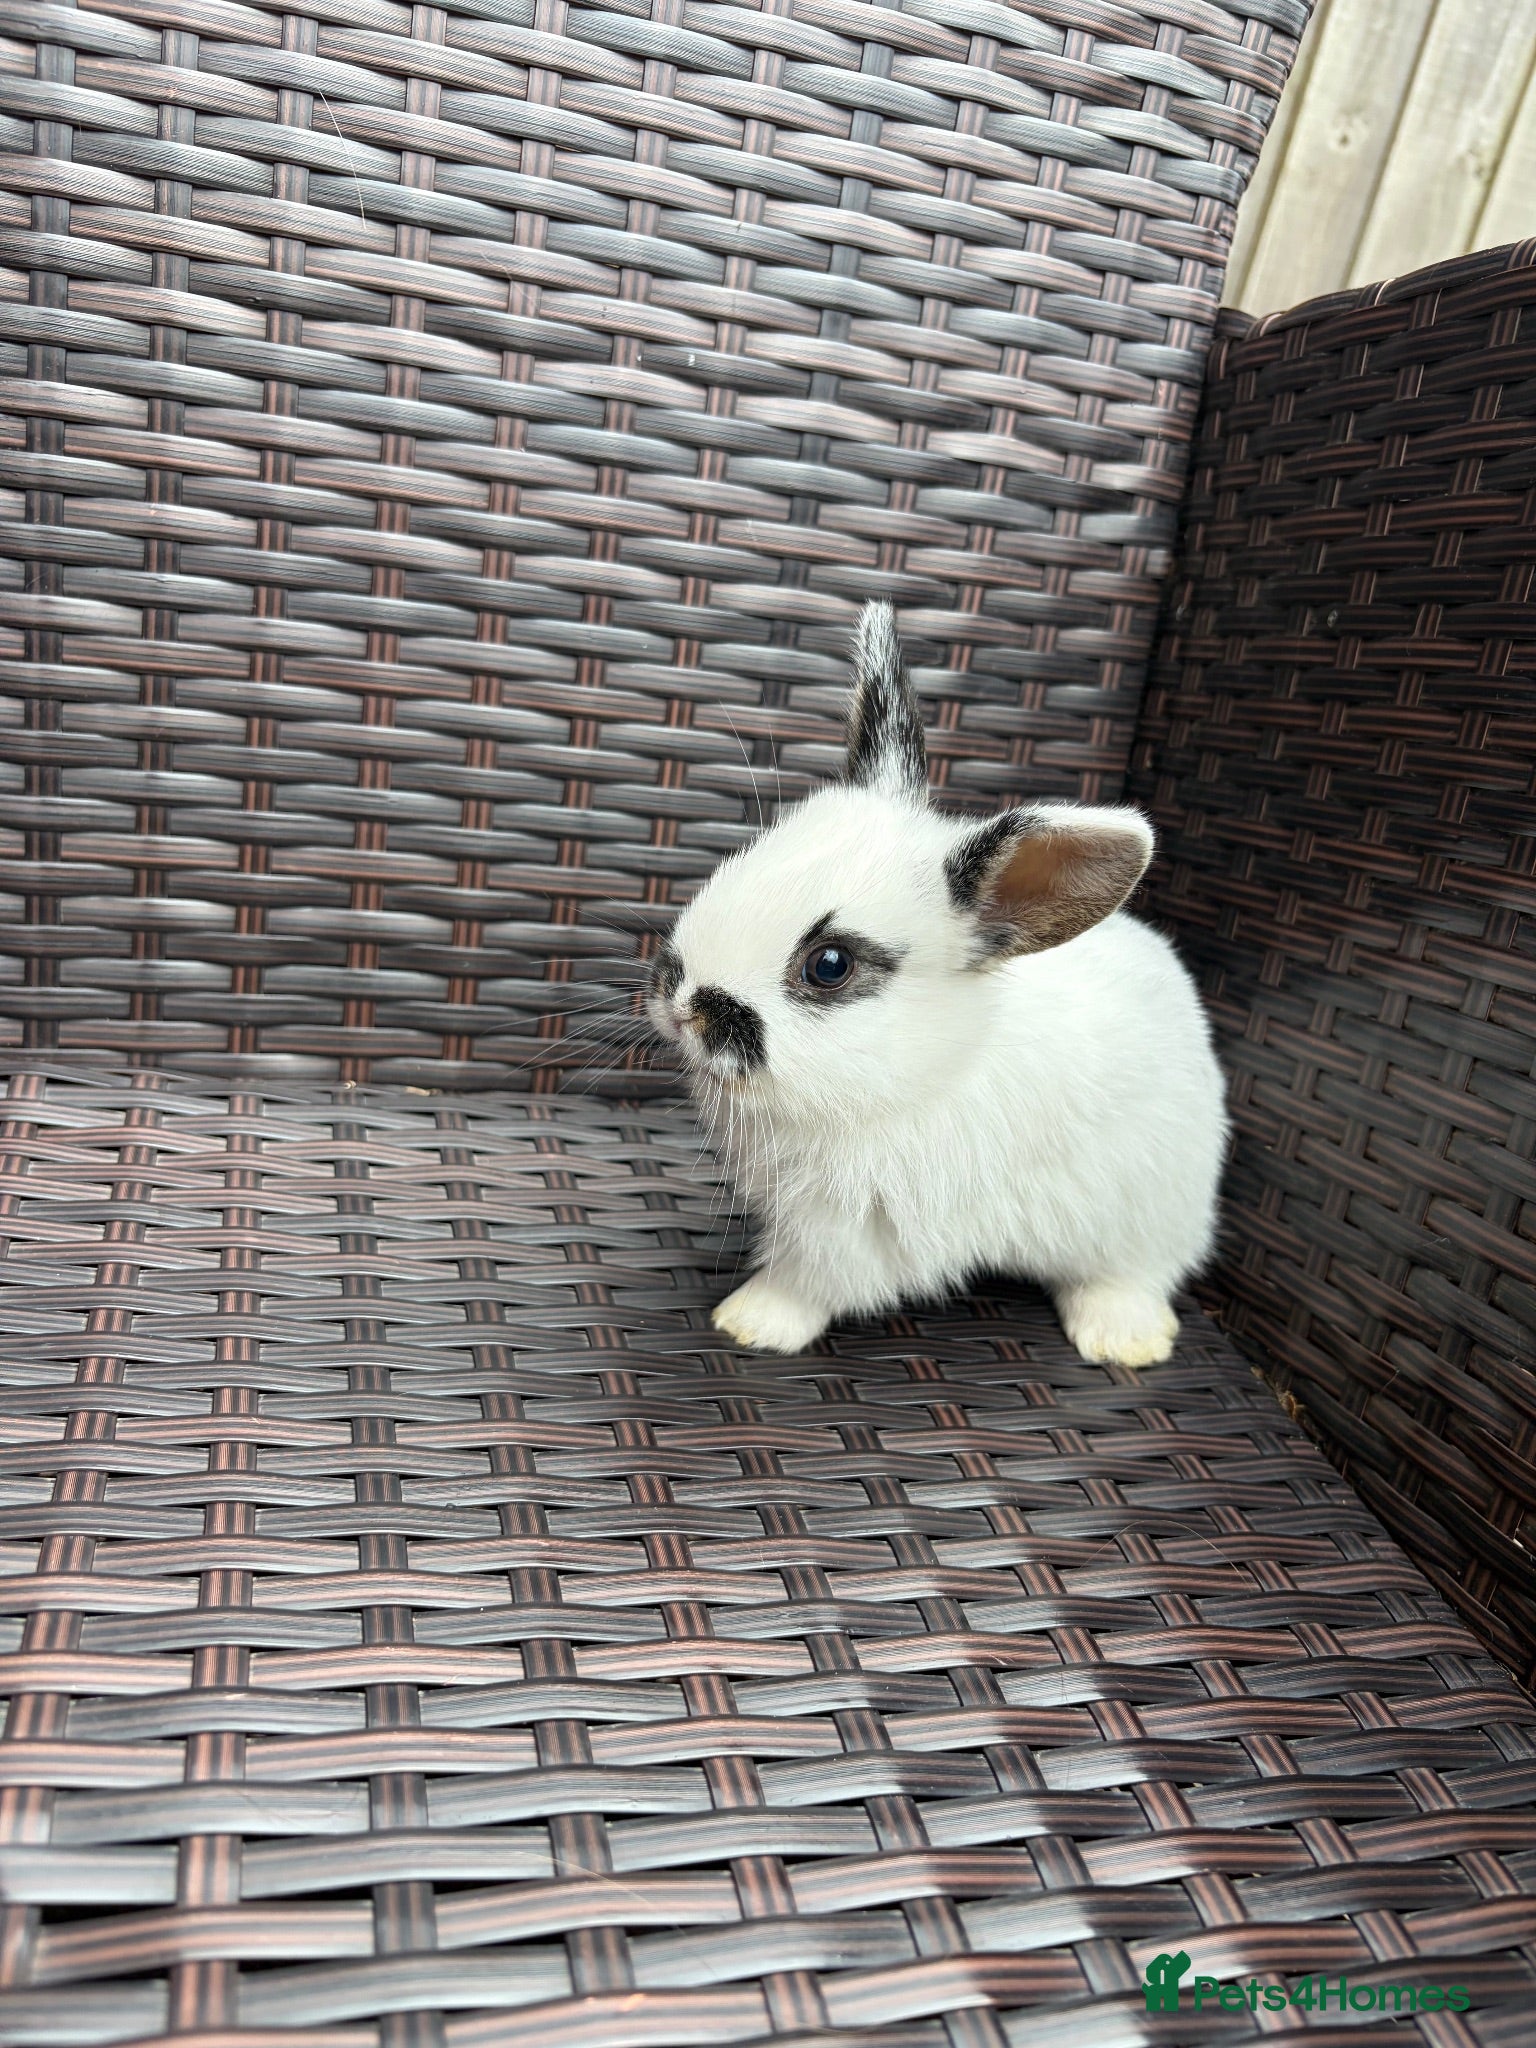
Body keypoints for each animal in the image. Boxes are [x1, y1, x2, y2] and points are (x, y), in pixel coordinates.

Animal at [646, 600, 1227, 1366]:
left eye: (830, 965)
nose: (682, 1003)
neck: (927, 1073)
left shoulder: (853, 1227)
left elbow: (807, 1281)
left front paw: (749, 1321)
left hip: (1150, 1208)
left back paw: (1125, 1342)